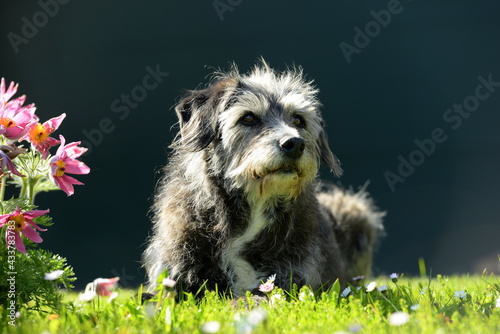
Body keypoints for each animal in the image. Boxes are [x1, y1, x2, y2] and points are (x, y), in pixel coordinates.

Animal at [143, 59, 384, 294]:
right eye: (248, 118)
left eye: (298, 120)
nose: (294, 144)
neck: (254, 206)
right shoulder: (175, 275)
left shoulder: (290, 279)